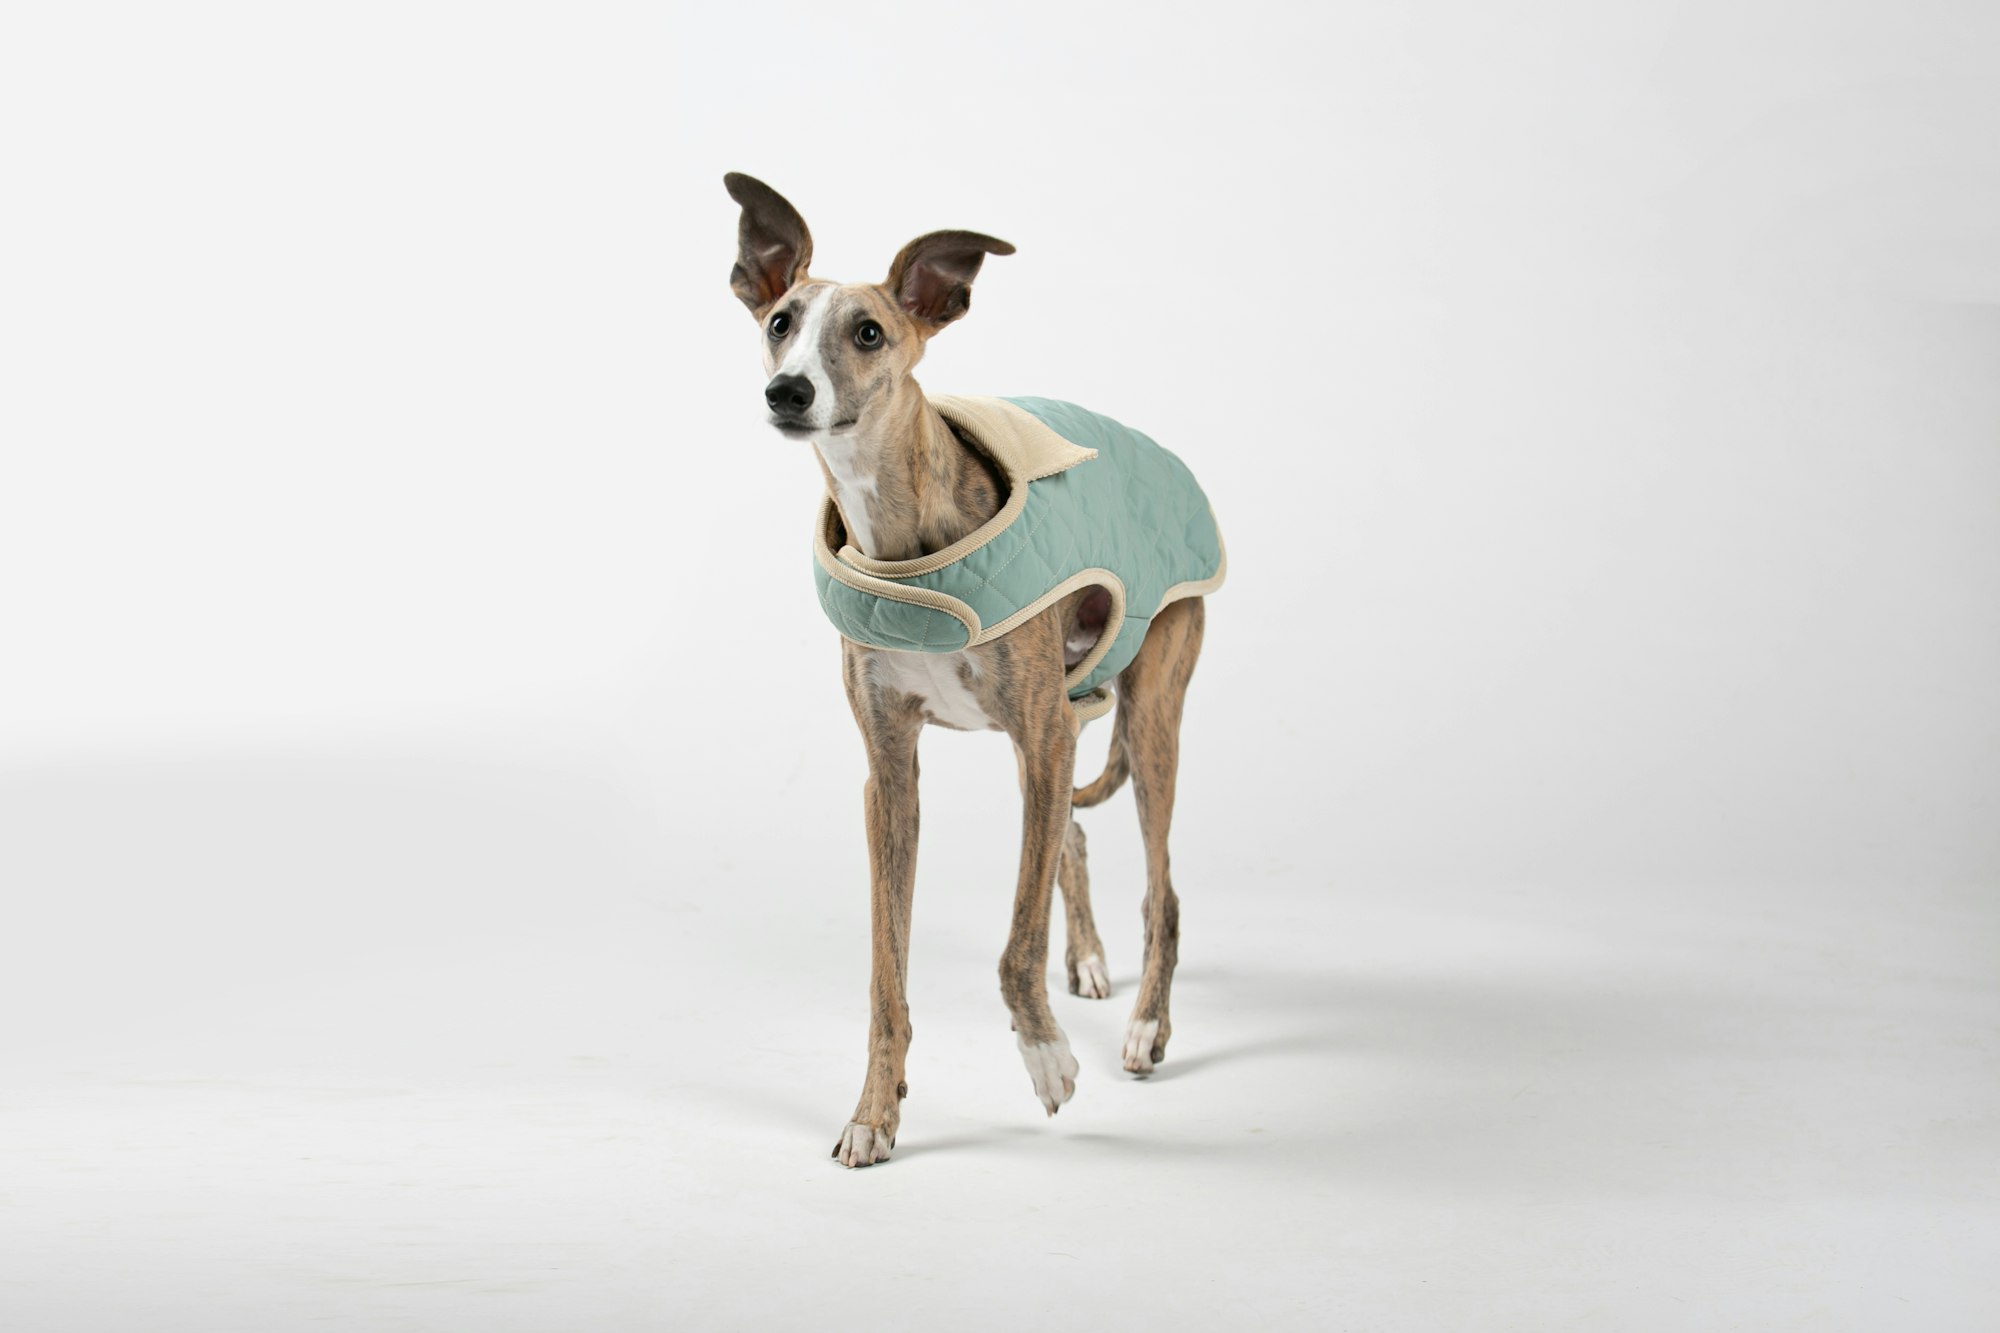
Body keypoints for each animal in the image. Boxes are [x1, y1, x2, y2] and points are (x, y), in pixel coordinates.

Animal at [724, 173, 1224, 1167]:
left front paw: (1046, 1057)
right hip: (1068, 721)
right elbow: (887, 971)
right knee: (1073, 833)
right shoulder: (891, 771)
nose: (788, 391)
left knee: (1164, 892)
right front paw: (875, 1109)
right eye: (780, 320)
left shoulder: (1039, 732)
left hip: (1149, 713)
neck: (904, 533)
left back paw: (1146, 1026)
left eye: (868, 332)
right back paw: (1088, 958)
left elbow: (1014, 940)